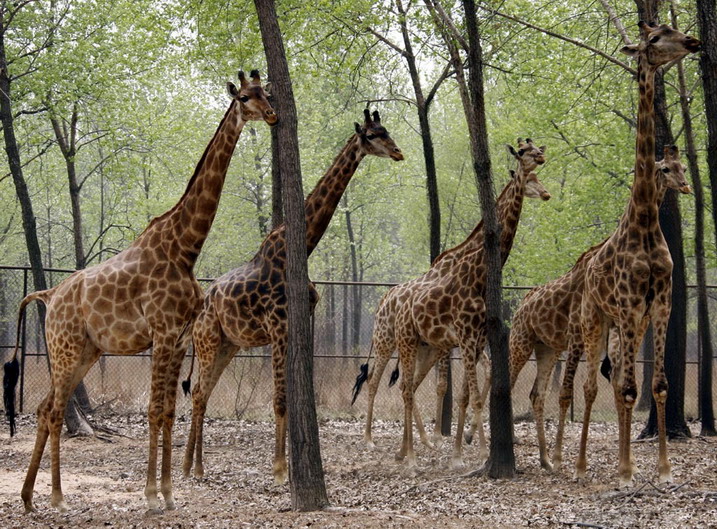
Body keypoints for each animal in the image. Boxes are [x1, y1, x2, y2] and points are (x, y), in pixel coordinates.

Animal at [1, 70, 276, 512]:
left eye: (266, 92)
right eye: (246, 98)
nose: (271, 115)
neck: (185, 248)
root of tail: (48, 295)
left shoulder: (179, 340)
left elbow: (168, 412)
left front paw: (168, 493)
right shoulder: (162, 335)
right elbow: (152, 410)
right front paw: (150, 494)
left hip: (86, 351)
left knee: (46, 409)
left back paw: (30, 498)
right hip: (64, 349)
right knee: (54, 410)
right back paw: (56, 497)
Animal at [179, 108, 402, 482]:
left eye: (387, 131)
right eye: (372, 135)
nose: (398, 152)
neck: (297, 249)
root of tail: (201, 308)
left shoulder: (300, 323)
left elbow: (296, 394)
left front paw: (285, 464)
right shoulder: (279, 328)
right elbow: (280, 398)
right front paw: (281, 469)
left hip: (228, 344)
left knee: (202, 392)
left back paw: (195, 465)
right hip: (208, 340)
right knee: (197, 391)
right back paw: (188, 466)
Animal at [352, 141, 548, 450]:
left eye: (537, 154)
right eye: (525, 158)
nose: (546, 193)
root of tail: (382, 302)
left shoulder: (470, 340)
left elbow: (469, 389)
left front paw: (462, 438)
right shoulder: (456, 341)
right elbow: (448, 387)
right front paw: (453, 438)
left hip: (421, 347)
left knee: (408, 384)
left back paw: (420, 440)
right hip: (385, 341)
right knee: (374, 380)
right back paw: (372, 438)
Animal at [506, 144, 692, 470]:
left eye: (683, 166)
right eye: (666, 169)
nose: (685, 186)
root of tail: (520, 306)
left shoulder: (616, 333)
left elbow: (616, 386)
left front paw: (625, 459)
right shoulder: (579, 335)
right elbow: (569, 393)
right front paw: (567, 457)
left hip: (547, 348)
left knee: (536, 393)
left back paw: (544, 459)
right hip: (522, 342)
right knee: (507, 381)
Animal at [576, 23, 700, 486]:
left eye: (672, 29)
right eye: (655, 39)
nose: (693, 42)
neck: (645, 221)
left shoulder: (659, 304)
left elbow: (658, 385)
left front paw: (662, 470)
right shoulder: (629, 305)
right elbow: (629, 388)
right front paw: (628, 473)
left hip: (624, 323)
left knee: (616, 383)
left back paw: (618, 459)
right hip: (595, 319)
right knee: (594, 386)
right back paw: (582, 466)